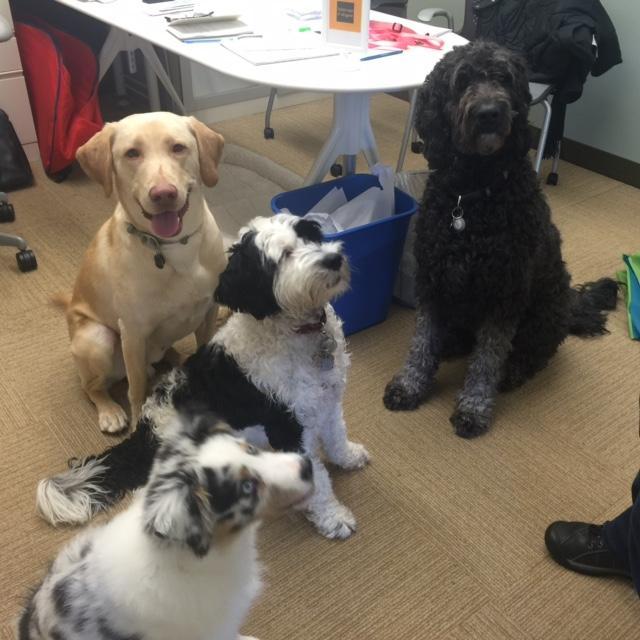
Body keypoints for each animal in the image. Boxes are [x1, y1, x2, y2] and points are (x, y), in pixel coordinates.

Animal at [37, 215, 370, 540]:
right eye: (283, 256)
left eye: (309, 235)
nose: (333, 259)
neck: (296, 332)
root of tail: (144, 433)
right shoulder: (288, 426)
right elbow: (319, 481)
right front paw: (333, 518)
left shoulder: (327, 400)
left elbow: (336, 435)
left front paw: (348, 457)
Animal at [382, 41, 616, 440]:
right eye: (462, 80)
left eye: (504, 79)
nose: (489, 114)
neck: (473, 192)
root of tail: (570, 306)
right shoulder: (433, 280)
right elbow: (422, 340)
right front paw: (411, 383)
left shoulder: (504, 294)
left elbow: (488, 358)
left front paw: (474, 407)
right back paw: (449, 345)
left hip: (542, 312)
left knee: (534, 353)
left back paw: (513, 370)